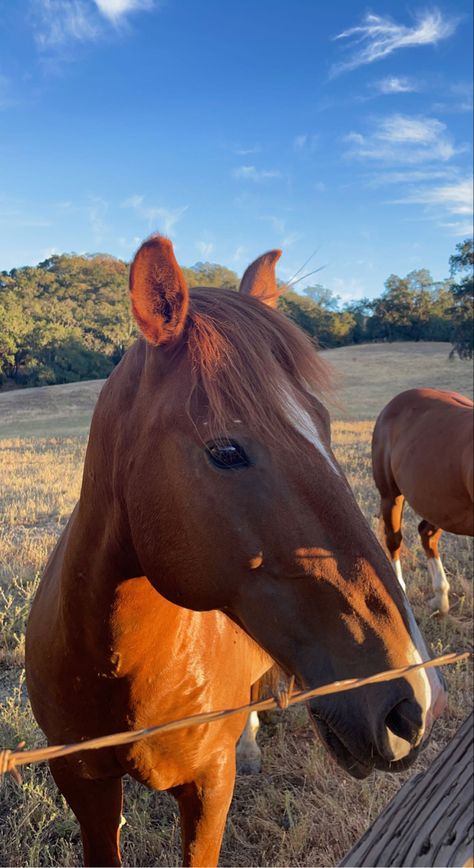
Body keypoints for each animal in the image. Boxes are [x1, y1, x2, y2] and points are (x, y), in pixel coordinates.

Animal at [26, 234, 448, 864]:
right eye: (226, 451)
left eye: (324, 427)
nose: (415, 702)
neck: (119, 670)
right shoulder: (84, 787)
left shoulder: (208, 786)